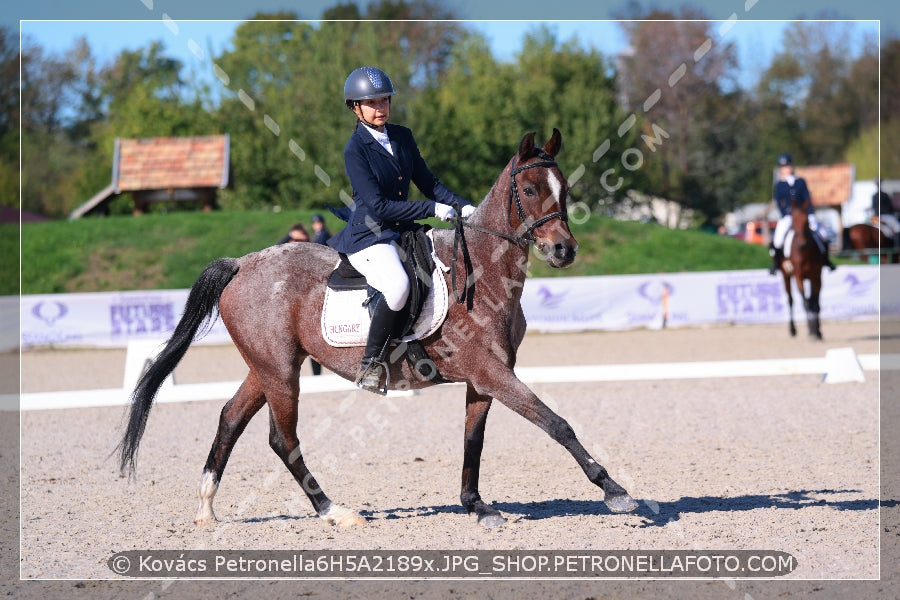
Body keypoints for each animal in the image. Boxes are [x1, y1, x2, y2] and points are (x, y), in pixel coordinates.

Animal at [114, 130, 640, 528]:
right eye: (529, 190)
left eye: (563, 189)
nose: (564, 250)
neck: (484, 274)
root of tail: (242, 264)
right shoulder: (492, 373)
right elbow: (556, 423)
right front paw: (615, 491)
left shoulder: (484, 378)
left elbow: (473, 441)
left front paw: (477, 506)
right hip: (280, 371)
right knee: (282, 440)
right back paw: (333, 511)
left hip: (268, 365)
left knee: (230, 418)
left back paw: (206, 510)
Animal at [776, 204, 828, 340]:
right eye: (793, 221)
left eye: (807, 221)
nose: (801, 244)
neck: (805, 253)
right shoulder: (798, 276)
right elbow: (805, 303)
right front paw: (811, 330)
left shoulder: (816, 277)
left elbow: (815, 304)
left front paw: (817, 332)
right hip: (786, 276)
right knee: (791, 300)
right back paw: (793, 330)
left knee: (810, 301)